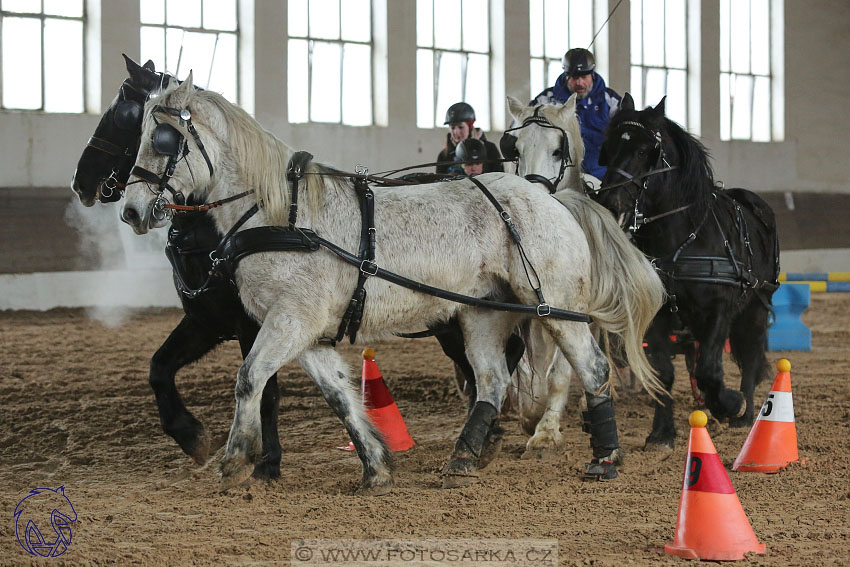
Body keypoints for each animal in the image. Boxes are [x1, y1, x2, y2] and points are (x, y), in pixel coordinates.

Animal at [71, 54, 524, 480]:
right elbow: (160, 368)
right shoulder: (209, 319)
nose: (83, 184)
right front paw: (194, 437)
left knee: (498, 359)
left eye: (127, 118)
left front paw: (261, 461)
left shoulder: (260, 319)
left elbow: (264, 389)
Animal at [119, 72, 664, 492]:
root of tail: (551, 198)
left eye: (163, 140)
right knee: (491, 379)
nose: (130, 211)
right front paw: (376, 467)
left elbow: (250, 378)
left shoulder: (289, 320)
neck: (281, 215)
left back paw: (603, 457)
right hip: (482, 312)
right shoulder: (306, 332)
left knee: (590, 368)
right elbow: (340, 396)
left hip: (554, 306)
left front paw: (235, 460)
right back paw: (464, 457)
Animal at [592, 94, 780, 448]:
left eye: (643, 150)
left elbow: (709, 369)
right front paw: (662, 432)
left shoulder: (720, 309)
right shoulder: (656, 313)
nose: (609, 202)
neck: (682, 241)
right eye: (608, 147)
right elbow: (664, 372)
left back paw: (745, 414)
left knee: (749, 358)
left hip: (755, 307)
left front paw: (728, 404)